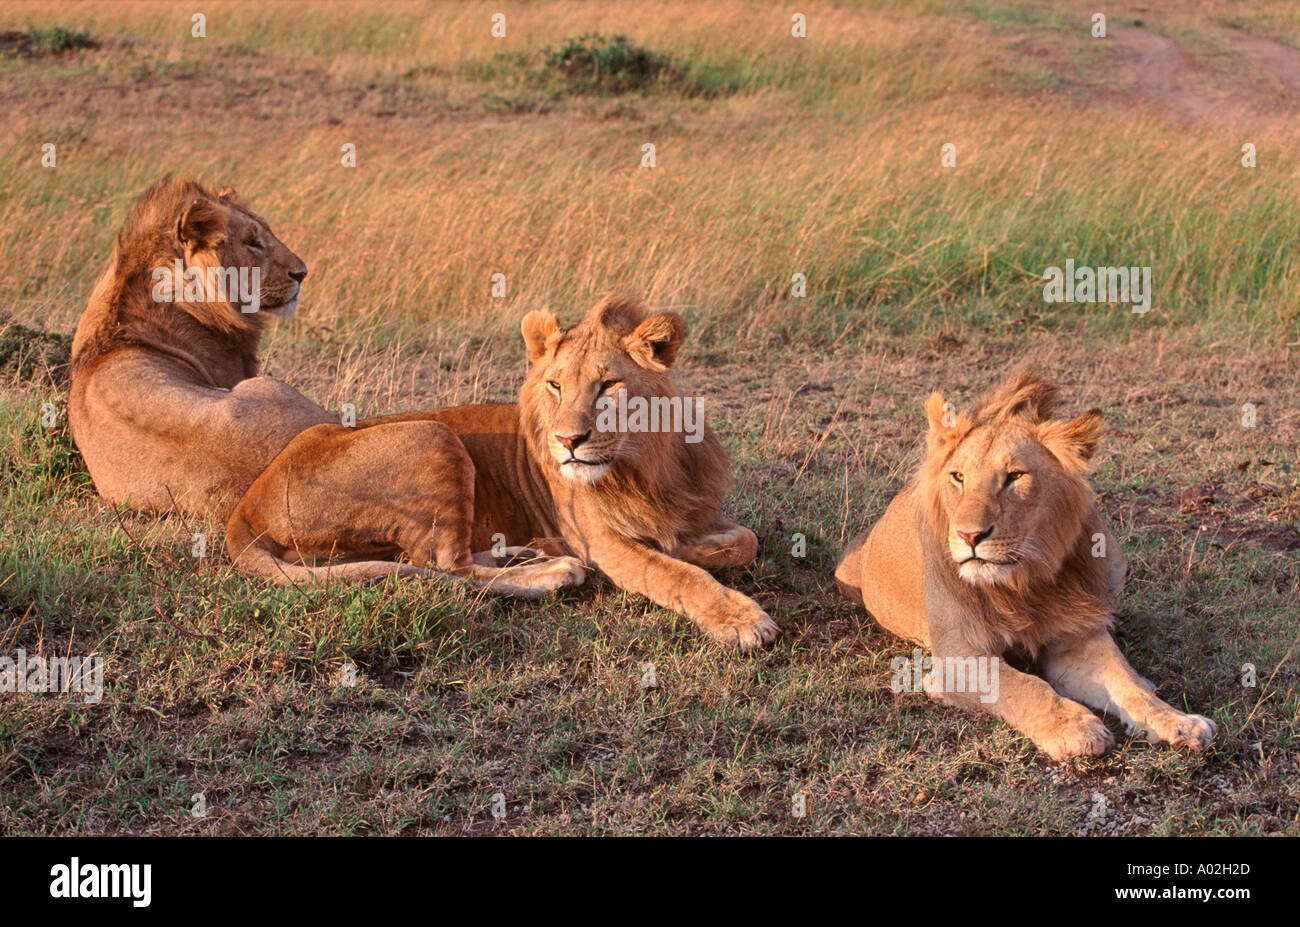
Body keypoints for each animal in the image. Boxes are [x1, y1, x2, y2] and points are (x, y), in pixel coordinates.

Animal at [228, 293, 779, 649]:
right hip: (433, 435)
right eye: (555, 385)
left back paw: (522, 553)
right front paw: (740, 618)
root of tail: (249, 502)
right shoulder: (598, 540)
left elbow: (745, 539)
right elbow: (672, 573)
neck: (643, 464)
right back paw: (553, 572)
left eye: (608, 386)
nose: (568, 442)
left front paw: (699, 548)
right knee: (447, 568)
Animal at [835, 371, 1216, 760]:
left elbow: (1124, 681)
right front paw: (1074, 727)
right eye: (958, 477)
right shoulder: (958, 652)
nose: (970, 535)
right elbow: (1022, 685)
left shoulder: (1075, 637)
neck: (1022, 581)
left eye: (1015, 476)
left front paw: (1180, 721)